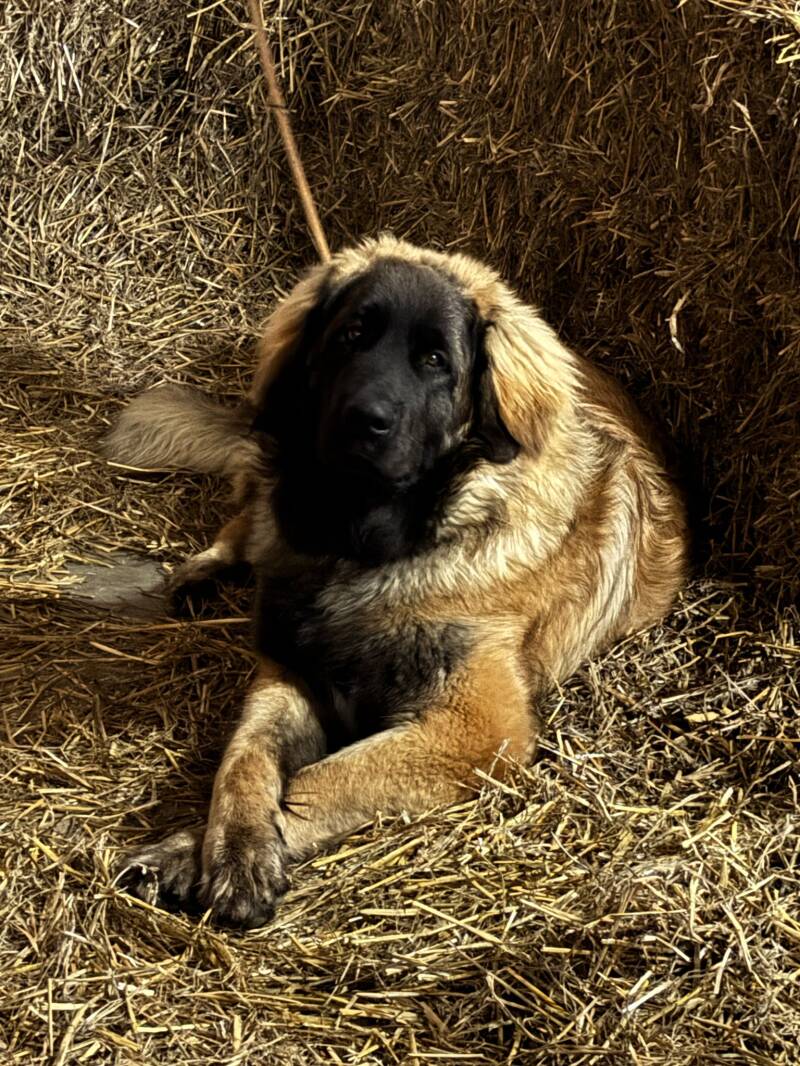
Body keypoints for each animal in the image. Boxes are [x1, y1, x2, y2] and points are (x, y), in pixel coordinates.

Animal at [107, 235, 688, 928]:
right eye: (351, 336)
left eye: (435, 361)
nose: (363, 419)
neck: (370, 551)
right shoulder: (291, 669)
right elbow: (244, 757)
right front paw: (233, 843)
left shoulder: (476, 729)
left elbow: (322, 779)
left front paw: (197, 851)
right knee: (247, 516)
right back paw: (201, 570)